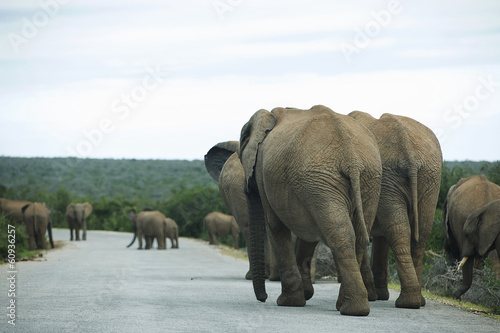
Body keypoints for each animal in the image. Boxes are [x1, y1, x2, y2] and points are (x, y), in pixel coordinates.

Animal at [238, 105, 382, 316]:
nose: (263, 298)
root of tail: (351, 157)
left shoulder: (264, 172)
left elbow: (275, 226)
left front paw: (288, 302)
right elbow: (308, 234)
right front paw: (303, 296)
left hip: (321, 179)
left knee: (340, 235)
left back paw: (352, 309)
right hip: (366, 179)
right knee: (356, 237)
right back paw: (348, 306)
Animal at [350, 110, 444, 308]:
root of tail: (408, 148)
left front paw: (372, 296)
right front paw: (377, 296)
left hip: (392, 175)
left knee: (399, 231)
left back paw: (407, 302)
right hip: (429, 178)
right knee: (419, 233)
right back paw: (417, 301)